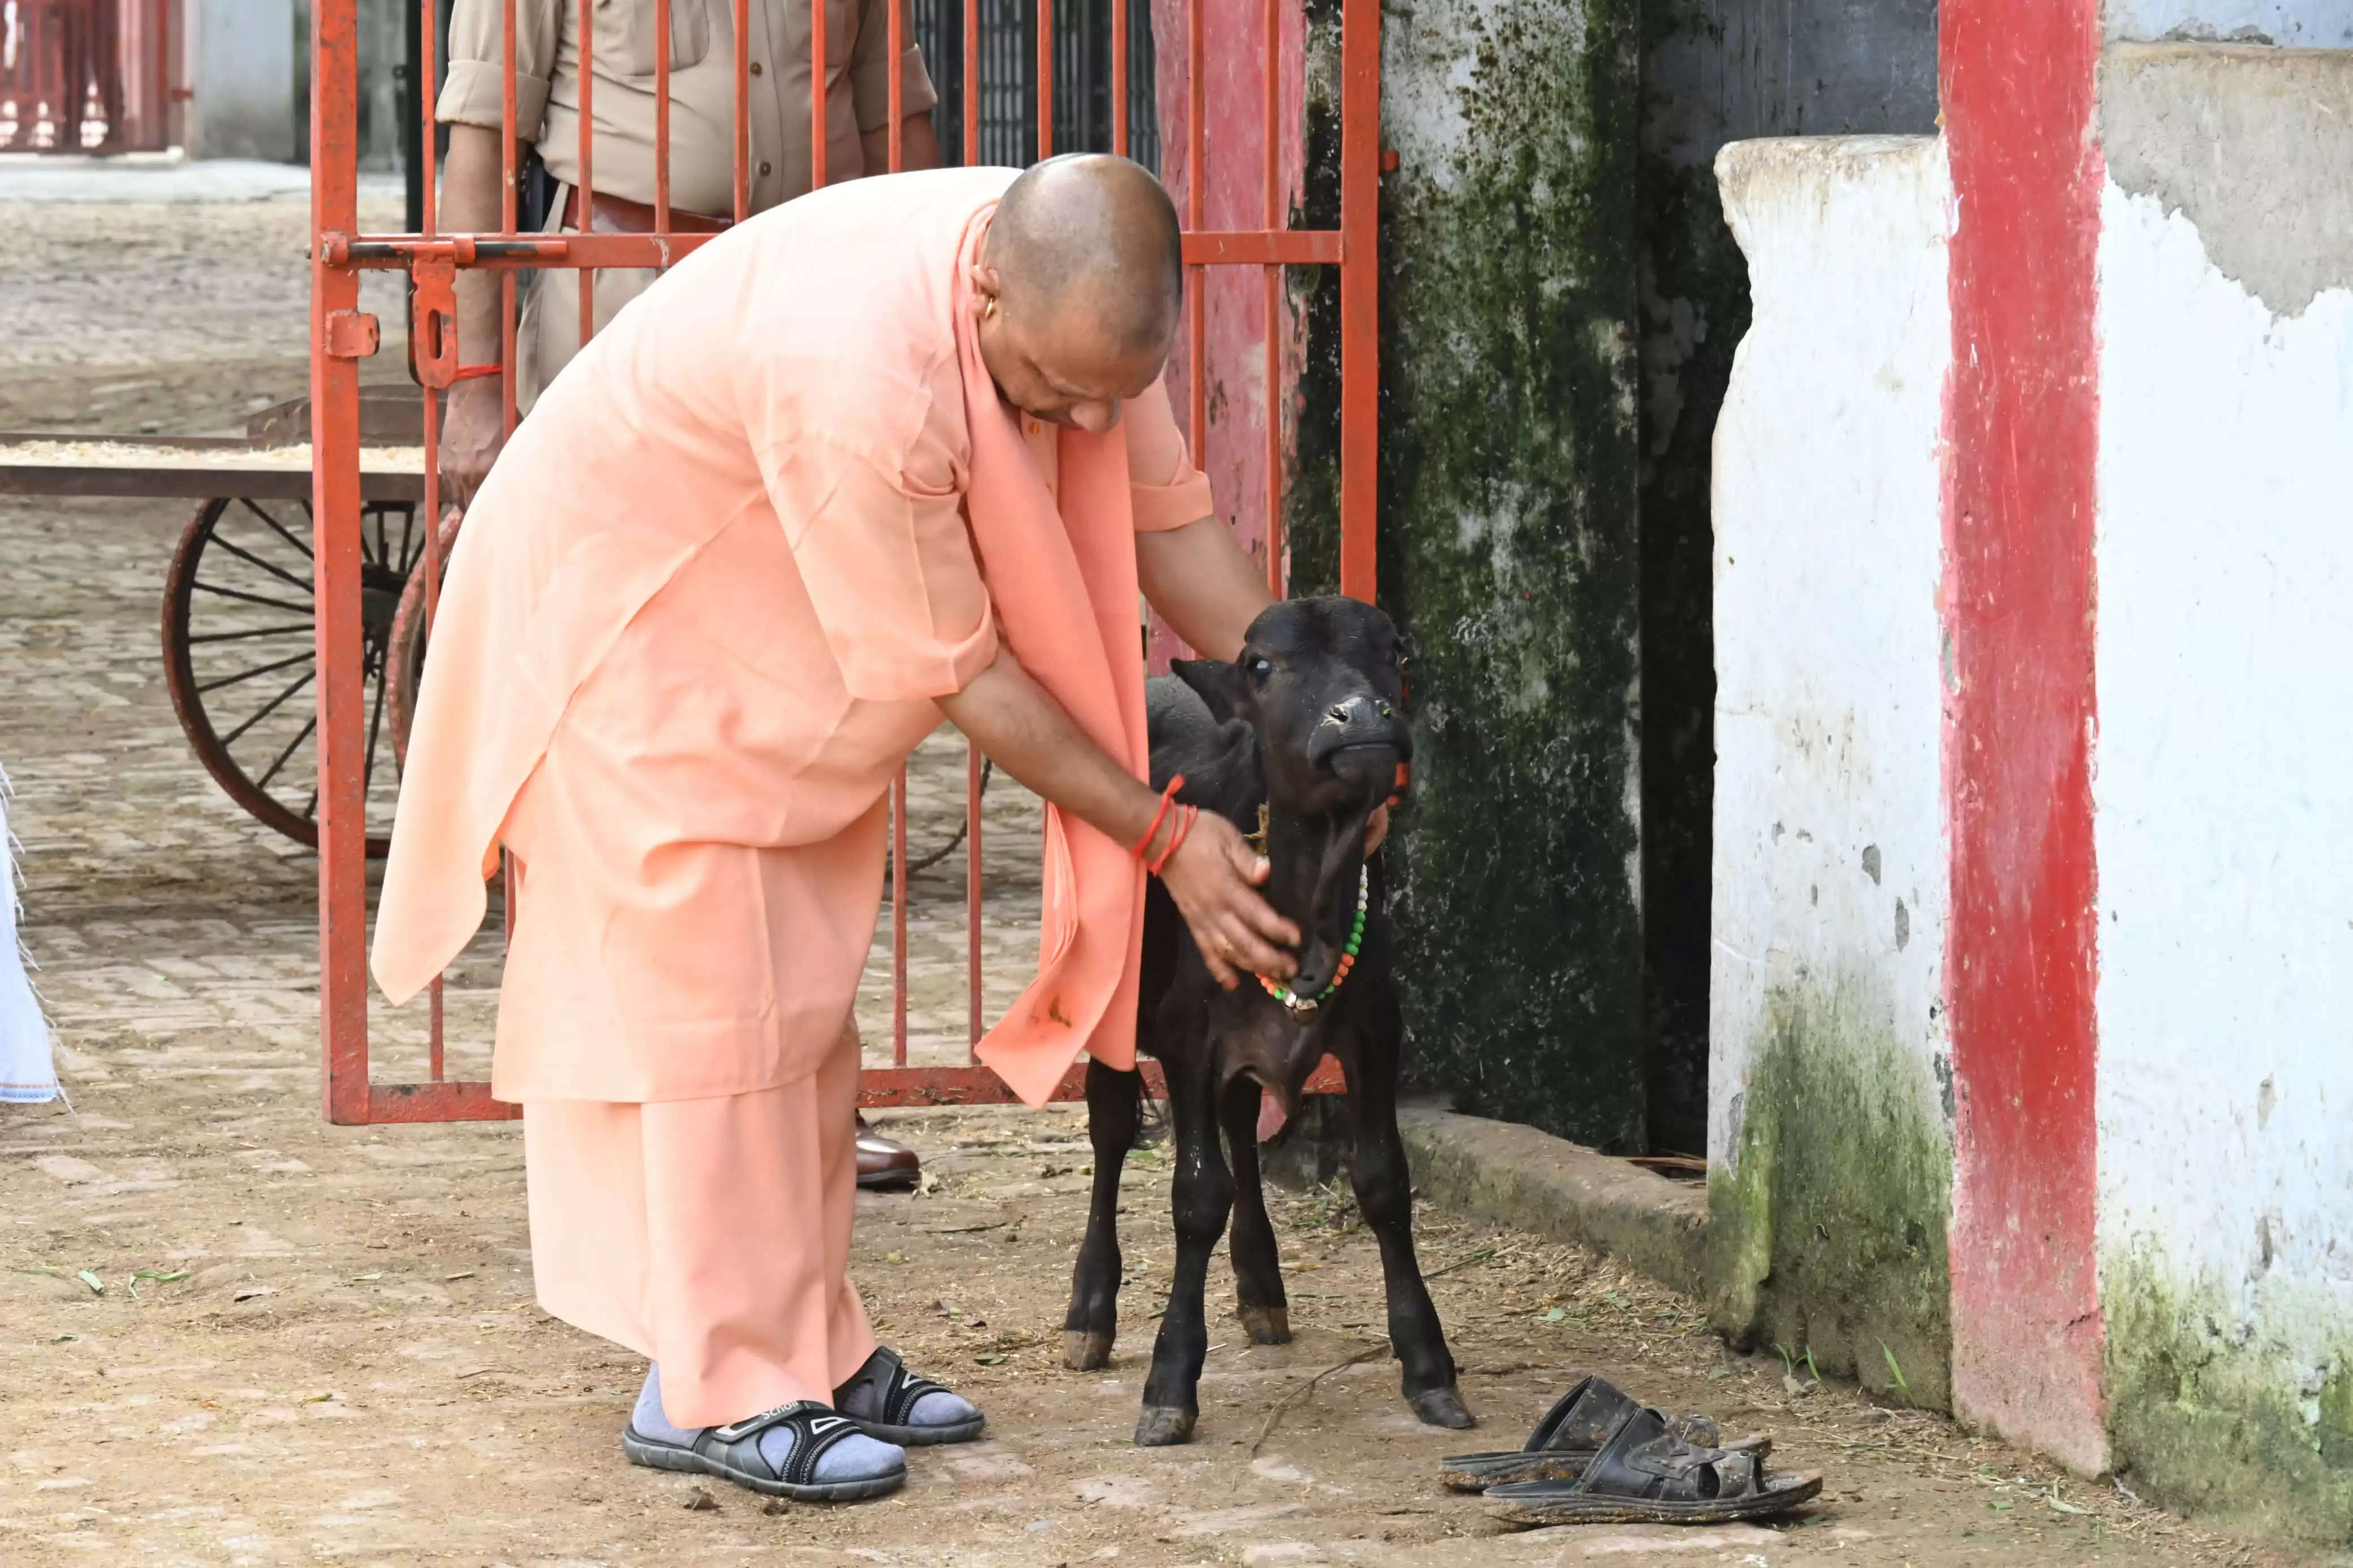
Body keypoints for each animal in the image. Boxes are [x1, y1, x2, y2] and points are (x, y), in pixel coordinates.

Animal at [1063, 597, 1468, 1448]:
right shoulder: (1186, 1036)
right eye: (1260, 665)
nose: (1361, 715)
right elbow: (1195, 1197)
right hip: (1110, 1002)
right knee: (1111, 1128)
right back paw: (1090, 1312)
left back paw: (1261, 1288)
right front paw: (1170, 1381)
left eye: (1395, 651)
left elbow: (1383, 1181)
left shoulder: (1378, 1026)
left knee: (1241, 1122)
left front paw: (1429, 1366)